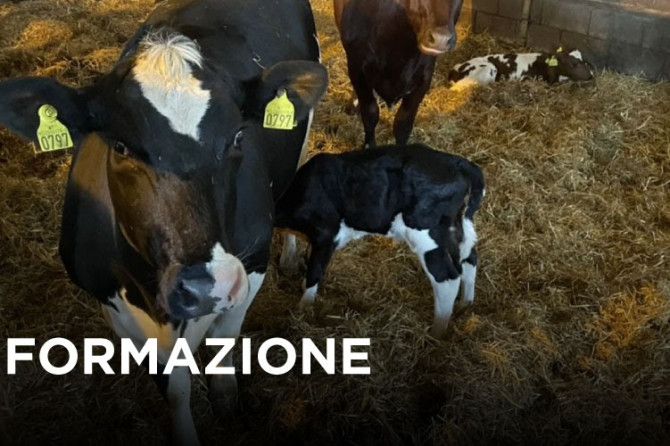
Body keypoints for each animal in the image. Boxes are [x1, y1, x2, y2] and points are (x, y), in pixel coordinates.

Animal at [0, 0, 327, 443]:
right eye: (120, 146)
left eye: (238, 137)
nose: (206, 285)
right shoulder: (111, 301)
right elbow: (173, 386)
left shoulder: (252, 264)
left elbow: (222, 341)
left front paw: (226, 399)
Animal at [274, 143, 485, 338]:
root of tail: (458, 163)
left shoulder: (326, 234)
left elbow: (315, 272)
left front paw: (302, 310)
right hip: (458, 226)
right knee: (470, 257)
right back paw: (466, 305)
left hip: (426, 236)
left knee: (447, 277)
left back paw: (436, 332)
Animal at [333, 0, 463, 149]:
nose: (441, 39)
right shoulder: (358, 70)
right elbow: (370, 113)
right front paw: (369, 145)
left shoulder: (424, 78)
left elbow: (403, 123)